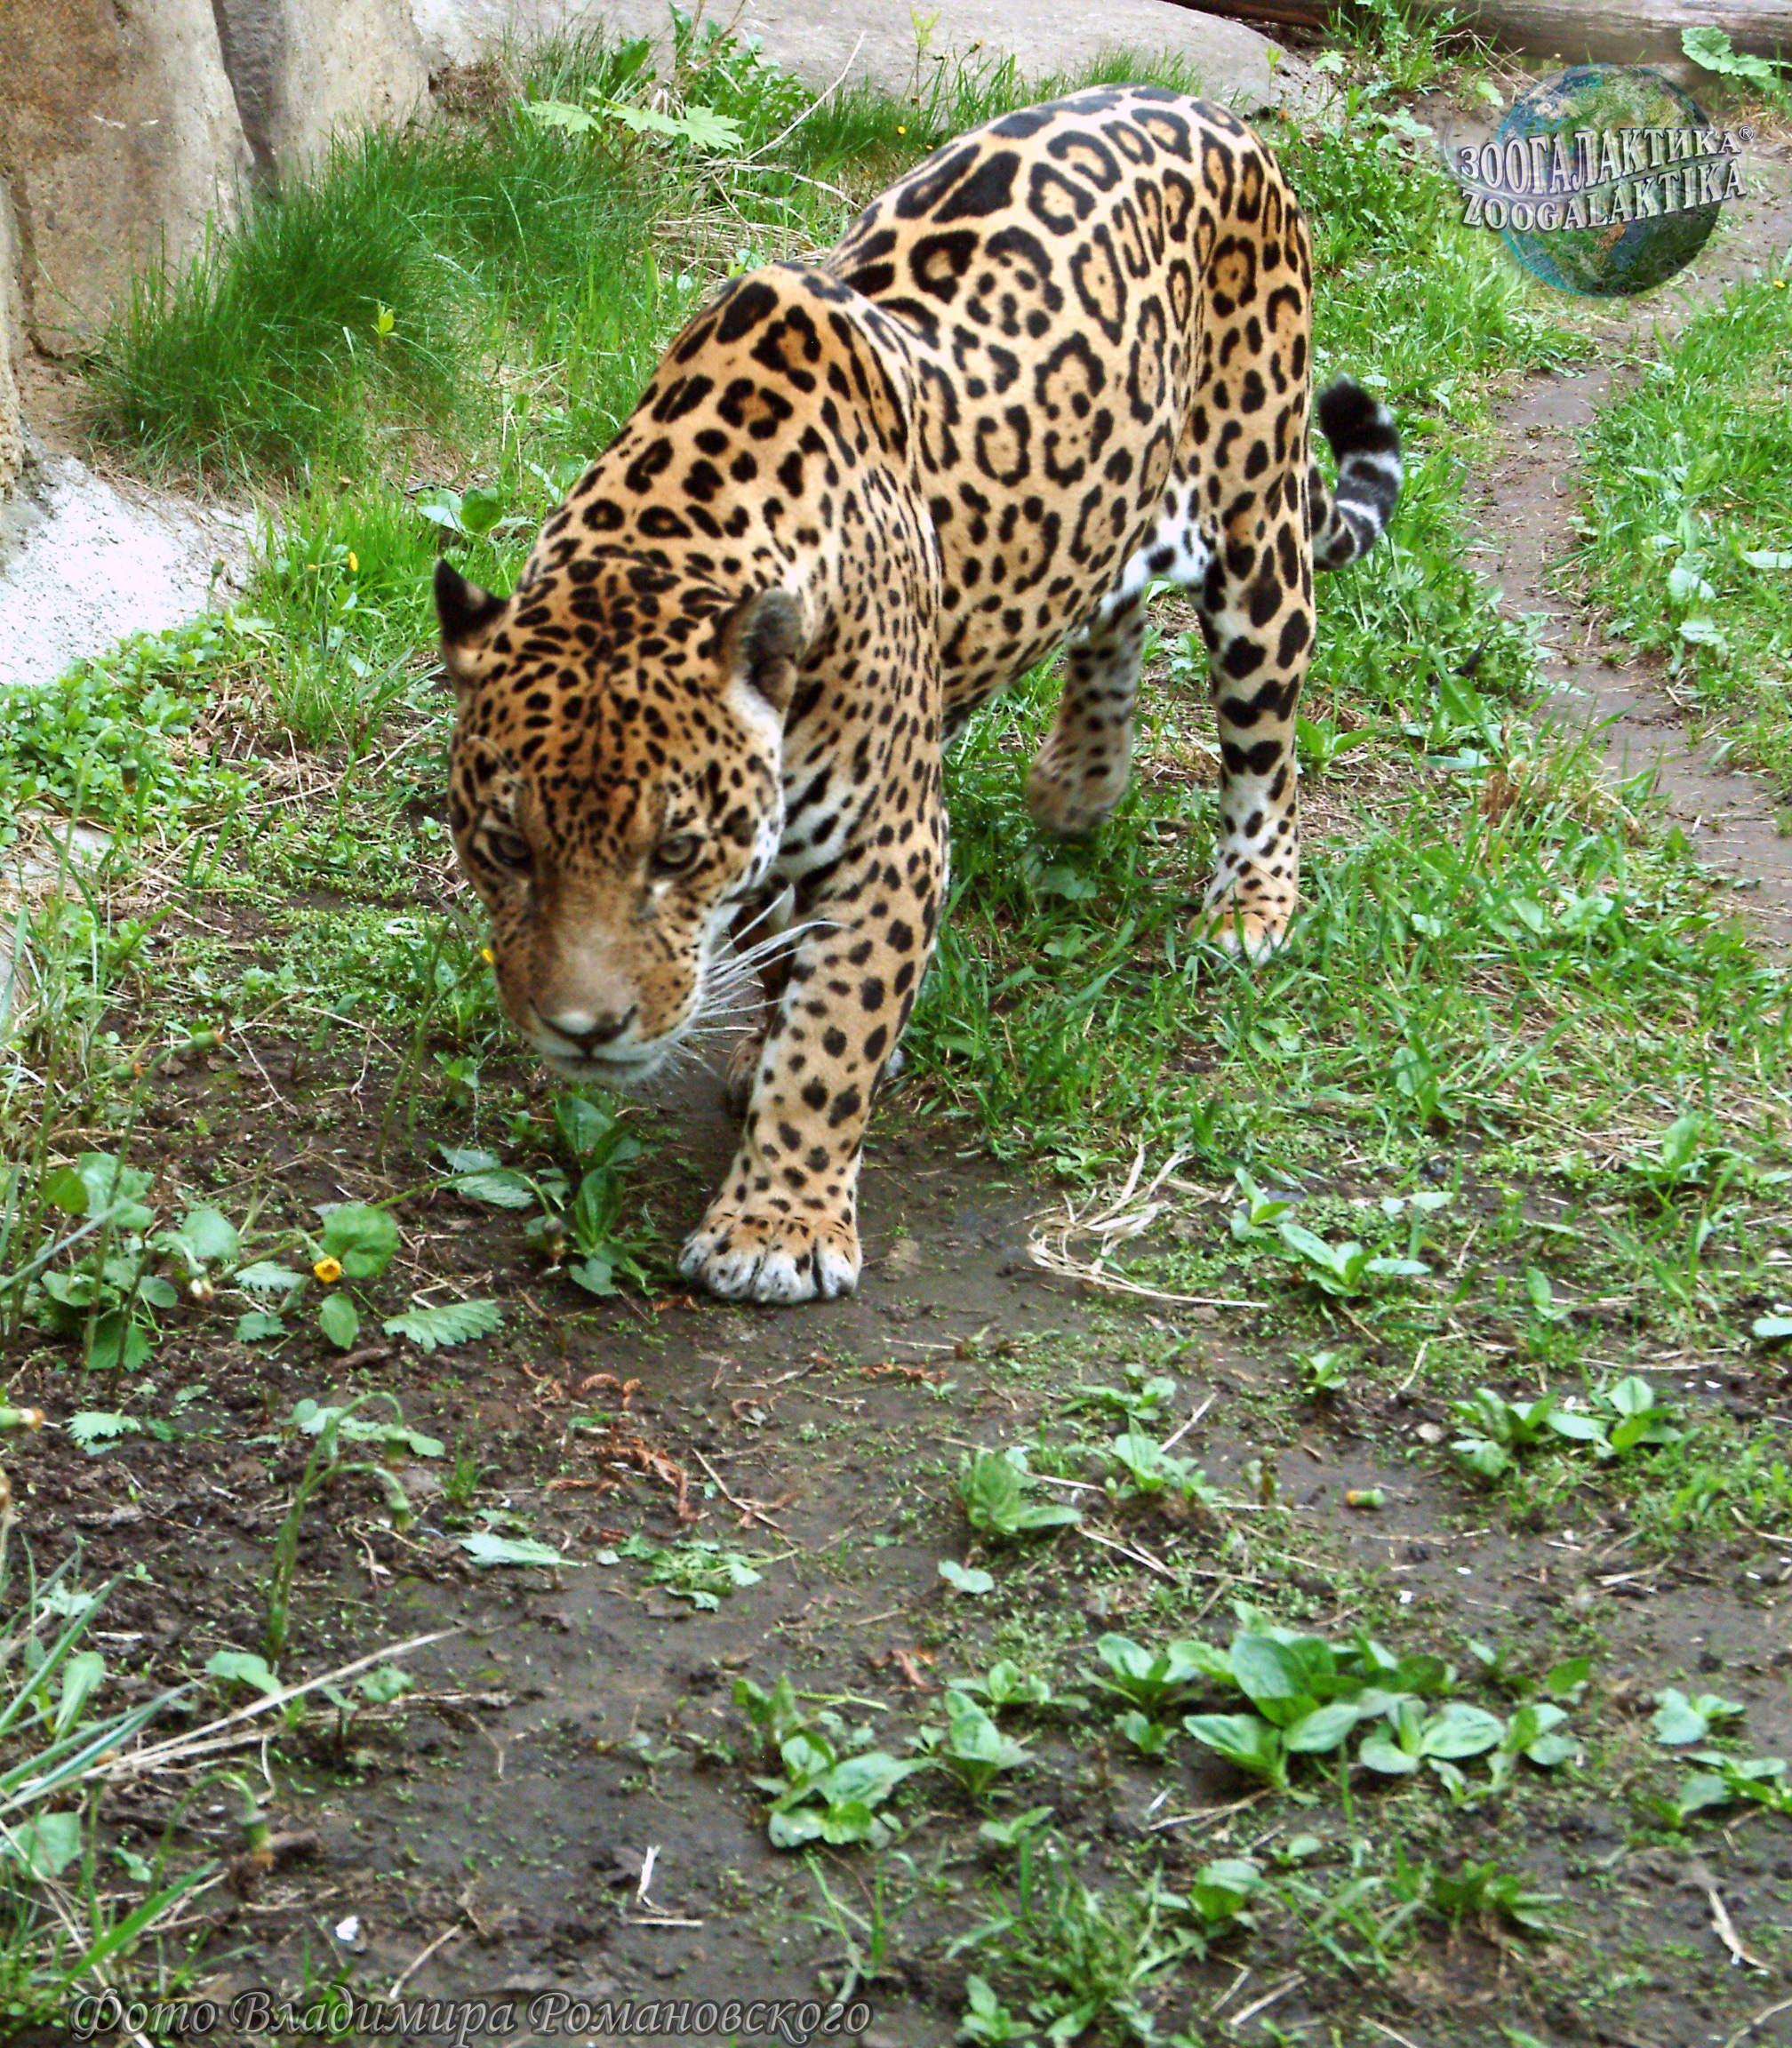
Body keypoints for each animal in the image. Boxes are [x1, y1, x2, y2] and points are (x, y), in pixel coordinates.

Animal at [434, 84, 1402, 1305]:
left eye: (676, 852)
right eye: (506, 849)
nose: (584, 1032)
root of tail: (1208, 111)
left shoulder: (891, 843)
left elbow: (830, 1037)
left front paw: (778, 1224)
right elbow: (783, 963)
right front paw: (761, 1056)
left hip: (1257, 530)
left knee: (1265, 744)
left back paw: (1249, 904)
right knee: (1111, 597)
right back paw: (1081, 780)